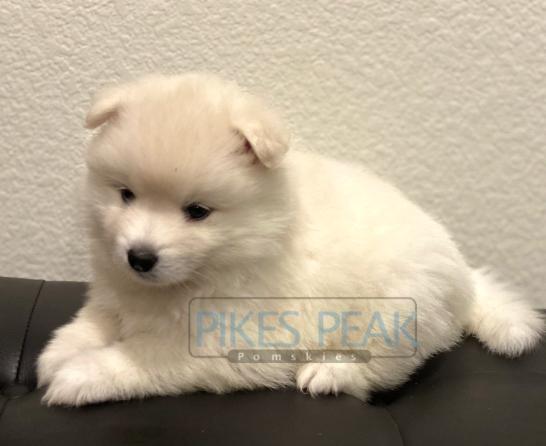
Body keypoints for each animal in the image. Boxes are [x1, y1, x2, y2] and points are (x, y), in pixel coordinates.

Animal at [37, 73, 543, 406]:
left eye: (197, 212)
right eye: (125, 194)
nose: (139, 257)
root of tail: (465, 278)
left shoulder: (224, 340)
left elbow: (142, 356)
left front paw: (80, 375)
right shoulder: (114, 293)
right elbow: (93, 322)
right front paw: (56, 354)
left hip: (398, 310)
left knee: (383, 368)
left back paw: (329, 371)